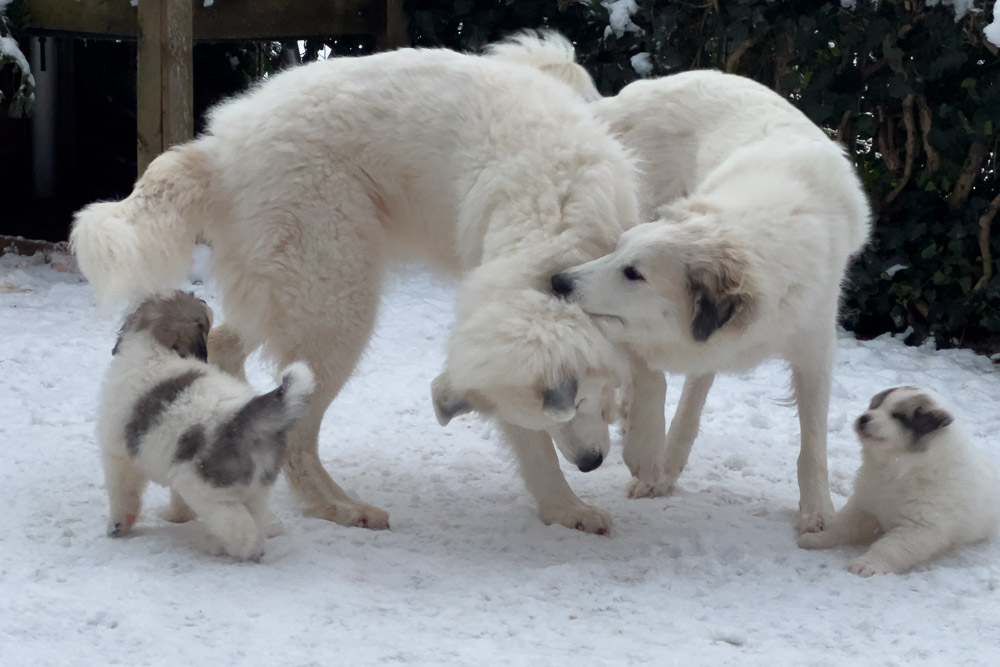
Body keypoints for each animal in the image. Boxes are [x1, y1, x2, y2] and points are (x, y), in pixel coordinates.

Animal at [98, 290, 312, 560]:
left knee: (236, 524)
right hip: (257, 487)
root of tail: (246, 413)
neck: (155, 348)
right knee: (255, 516)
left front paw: (117, 525)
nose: (205, 300)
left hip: (201, 485)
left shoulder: (118, 457)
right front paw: (176, 516)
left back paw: (234, 549)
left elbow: (122, 494)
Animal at [532, 52, 876, 536]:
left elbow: (812, 441)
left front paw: (817, 512)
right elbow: (663, 386)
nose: (559, 282)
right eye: (618, 250)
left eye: (633, 272)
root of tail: (633, 92)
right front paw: (650, 458)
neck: (750, 235)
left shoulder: (812, 348)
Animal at [796, 388, 1000, 576]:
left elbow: (888, 548)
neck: (900, 469)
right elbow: (841, 527)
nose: (864, 418)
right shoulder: (864, 506)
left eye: (898, 416)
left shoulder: (917, 527)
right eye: (874, 406)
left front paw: (866, 564)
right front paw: (817, 539)